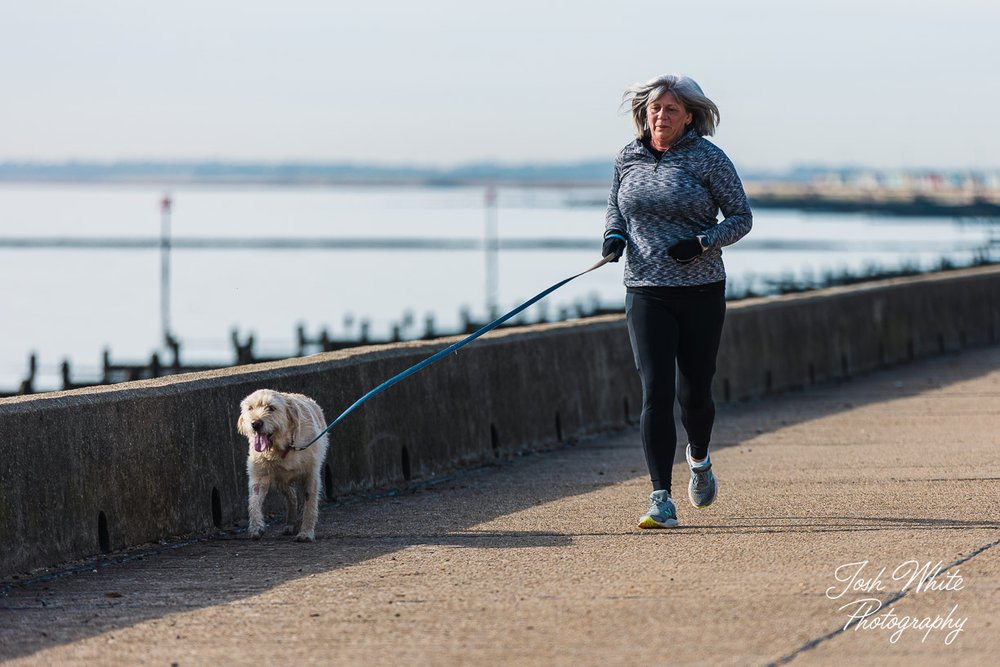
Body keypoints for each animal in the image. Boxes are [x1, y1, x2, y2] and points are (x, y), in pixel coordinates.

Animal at [236, 392, 330, 544]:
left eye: (271, 408)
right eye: (250, 408)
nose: (255, 424)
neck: (282, 448)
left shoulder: (311, 475)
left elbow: (310, 503)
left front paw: (306, 532)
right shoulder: (259, 475)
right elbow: (254, 501)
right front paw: (256, 527)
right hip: (282, 481)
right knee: (292, 497)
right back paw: (291, 523)